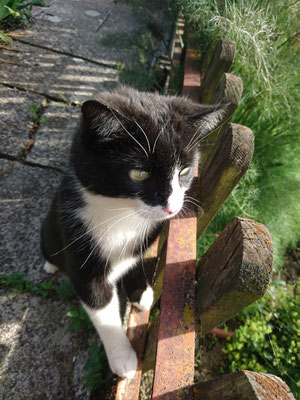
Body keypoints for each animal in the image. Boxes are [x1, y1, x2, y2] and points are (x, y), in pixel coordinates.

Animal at [40, 86, 225, 378]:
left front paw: (142, 292)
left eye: (184, 171)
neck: (122, 214)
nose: (172, 208)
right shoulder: (78, 241)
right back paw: (49, 265)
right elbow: (100, 307)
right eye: (139, 174)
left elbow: (135, 258)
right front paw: (123, 359)